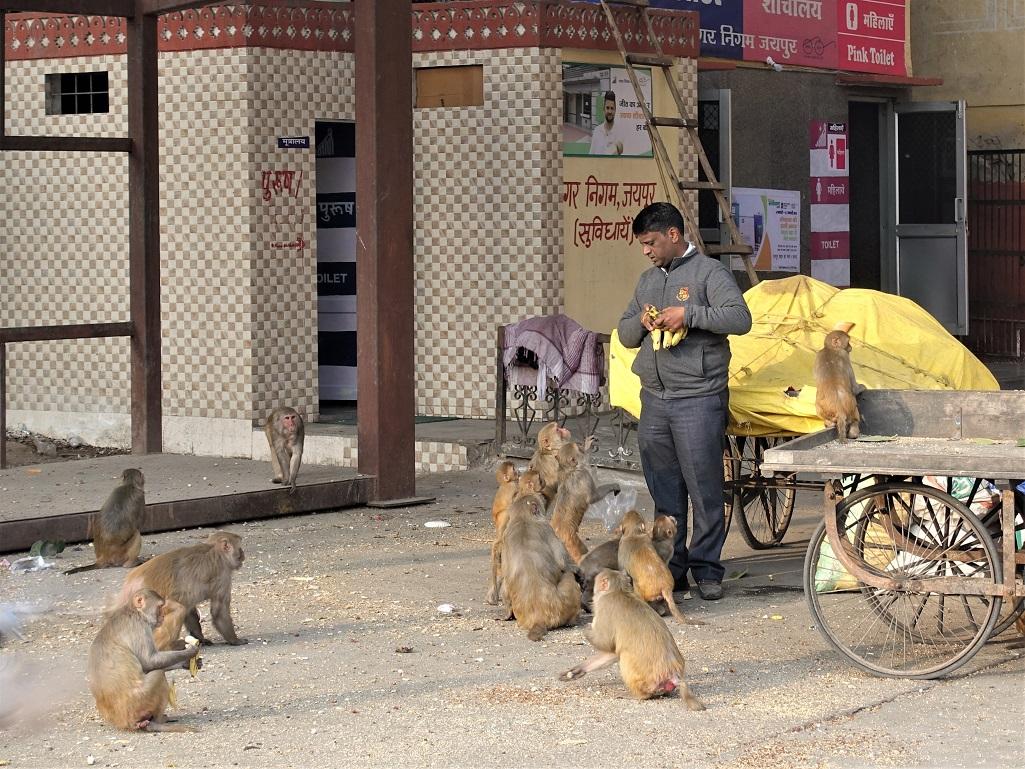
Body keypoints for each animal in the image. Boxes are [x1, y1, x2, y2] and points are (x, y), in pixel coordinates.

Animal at [88, 590, 201, 734]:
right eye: (160, 607)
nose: (163, 616)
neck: (134, 611)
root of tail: (124, 722)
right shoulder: (139, 626)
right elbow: (149, 662)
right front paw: (190, 652)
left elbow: (147, 666)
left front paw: (187, 663)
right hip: (139, 704)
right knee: (158, 674)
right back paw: (157, 721)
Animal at [498, 490, 582, 639]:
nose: (542, 495)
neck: (523, 518)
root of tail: (539, 617)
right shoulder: (547, 528)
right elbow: (563, 564)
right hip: (565, 603)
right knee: (568, 577)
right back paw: (573, 620)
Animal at [561, 565, 705, 709]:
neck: (619, 591)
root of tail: (674, 673)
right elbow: (613, 651)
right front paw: (578, 670)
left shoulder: (605, 608)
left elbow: (605, 643)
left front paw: (587, 629)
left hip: (646, 679)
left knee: (625, 657)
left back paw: (638, 696)